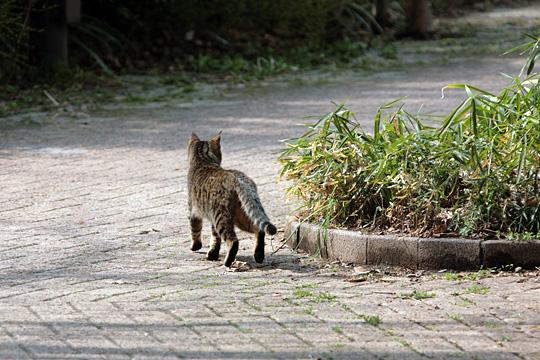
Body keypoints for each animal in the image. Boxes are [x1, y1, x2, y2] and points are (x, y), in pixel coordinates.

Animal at [188, 134, 276, 266]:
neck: (203, 160)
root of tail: (237, 178)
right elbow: (215, 238)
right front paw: (213, 253)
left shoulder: (194, 212)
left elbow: (195, 231)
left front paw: (196, 246)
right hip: (242, 216)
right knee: (259, 230)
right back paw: (258, 255)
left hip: (222, 217)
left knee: (233, 241)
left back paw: (228, 262)